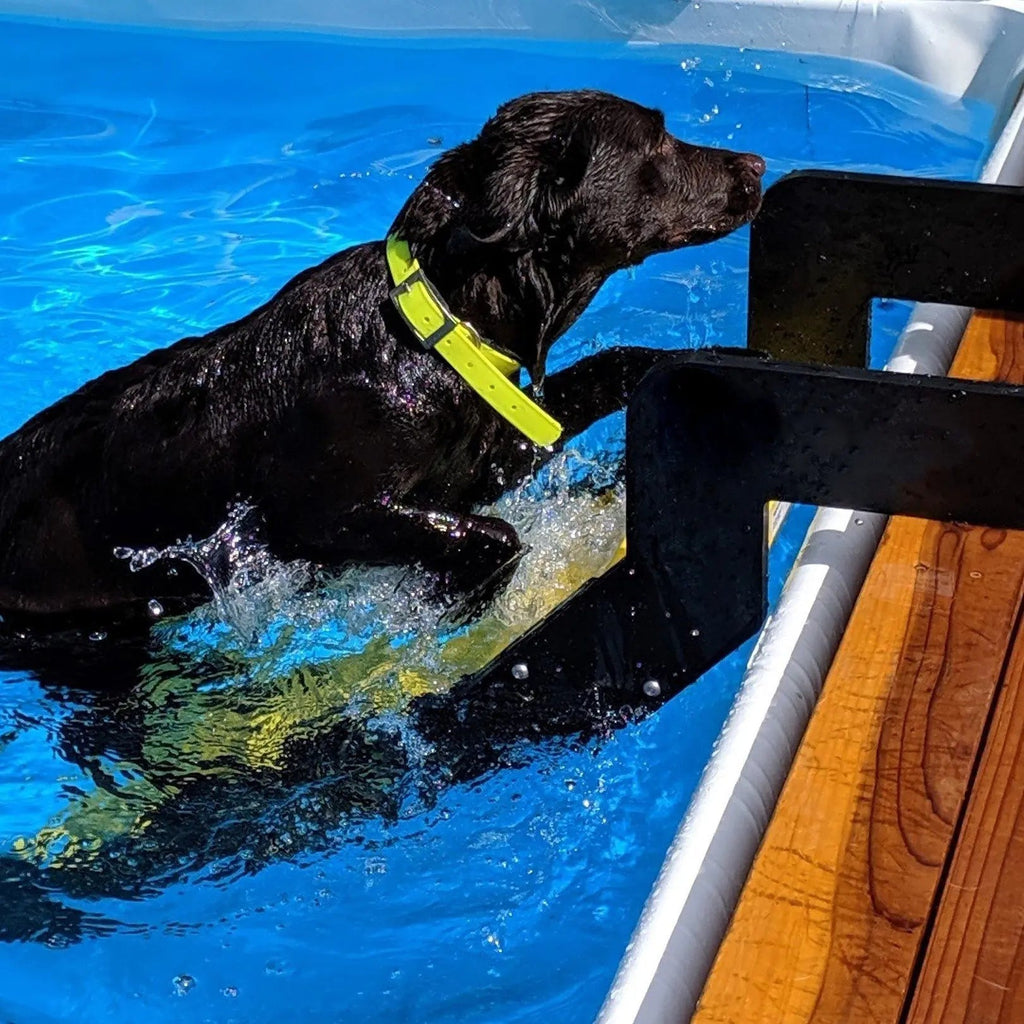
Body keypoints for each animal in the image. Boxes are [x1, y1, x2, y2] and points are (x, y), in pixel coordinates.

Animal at [0, 90, 761, 630]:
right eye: (656, 141)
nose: (756, 166)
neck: (436, 325)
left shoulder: (481, 463)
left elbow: (621, 363)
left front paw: (715, 361)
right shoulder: (315, 520)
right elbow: (498, 536)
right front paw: (457, 601)